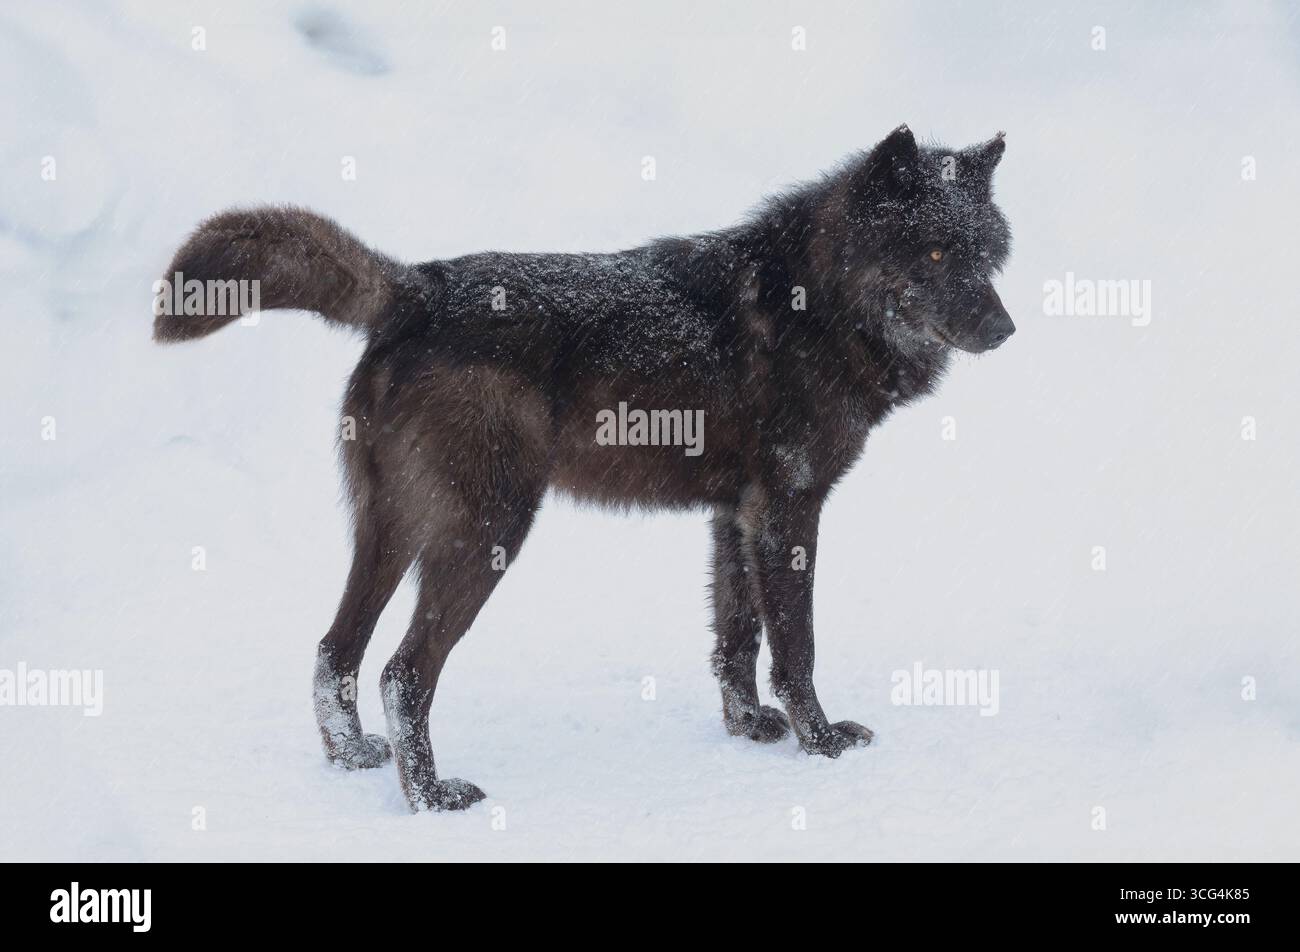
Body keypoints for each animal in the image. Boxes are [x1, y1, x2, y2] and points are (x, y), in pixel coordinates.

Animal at [155, 124, 1014, 812]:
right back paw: (431, 799)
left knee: (335, 649)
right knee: (403, 672)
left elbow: (736, 637)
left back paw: (353, 759)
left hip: (390, 532)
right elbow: (794, 646)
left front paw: (746, 729)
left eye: (985, 255)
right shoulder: (789, 510)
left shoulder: (735, 515)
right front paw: (823, 743)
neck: (818, 301)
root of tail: (416, 287)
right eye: (935, 252)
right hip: (486, 535)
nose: (1006, 328)